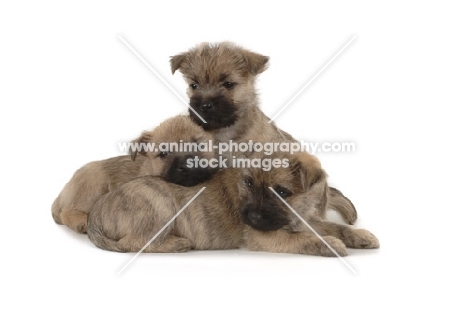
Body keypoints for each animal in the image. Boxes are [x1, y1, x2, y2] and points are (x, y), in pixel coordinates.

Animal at [51, 115, 218, 234]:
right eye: (163, 154)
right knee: (66, 212)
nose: (186, 166)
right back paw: (81, 221)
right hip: (93, 182)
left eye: (199, 145)